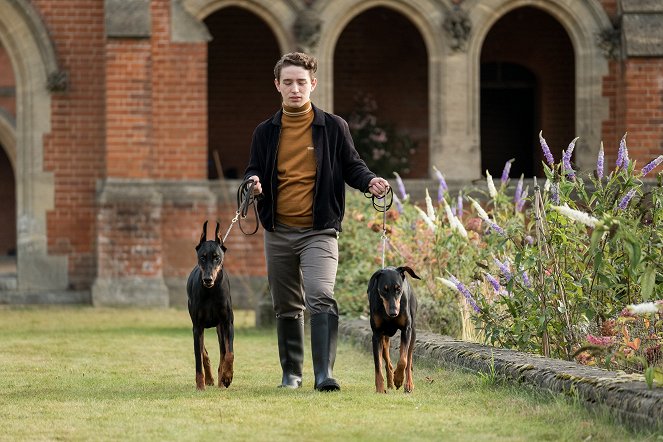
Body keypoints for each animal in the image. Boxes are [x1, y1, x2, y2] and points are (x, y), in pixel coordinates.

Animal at [187, 221, 236, 390]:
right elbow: (198, 358)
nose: (207, 279)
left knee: (223, 352)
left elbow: (229, 353)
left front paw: (227, 377)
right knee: (204, 353)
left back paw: (222, 380)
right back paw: (209, 379)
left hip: (220, 328)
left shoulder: (227, 323)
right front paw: (200, 385)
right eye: (202, 257)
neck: (211, 291)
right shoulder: (197, 327)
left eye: (217, 258)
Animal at [368, 266, 420, 394]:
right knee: (388, 363)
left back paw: (408, 384)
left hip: (413, 333)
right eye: (384, 289)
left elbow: (403, 361)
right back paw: (390, 383)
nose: (393, 313)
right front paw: (380, 389)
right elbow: (378, 365)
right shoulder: (376, 334)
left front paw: (399, 380)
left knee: (408, 358)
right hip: (384, 338)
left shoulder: (406, 330)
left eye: (398, 289)